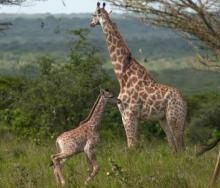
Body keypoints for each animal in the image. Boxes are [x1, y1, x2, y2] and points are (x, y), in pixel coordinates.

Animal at [90, 2, 186, 152]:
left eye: (94, 14)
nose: (91, 23)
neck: (122, 75)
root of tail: (184, 101)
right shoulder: (127, 115)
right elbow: (133, 143)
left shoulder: (129, 114)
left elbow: (131, 145)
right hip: (164, 119)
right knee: (174, 147)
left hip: (175, 118)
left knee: (181, 147)